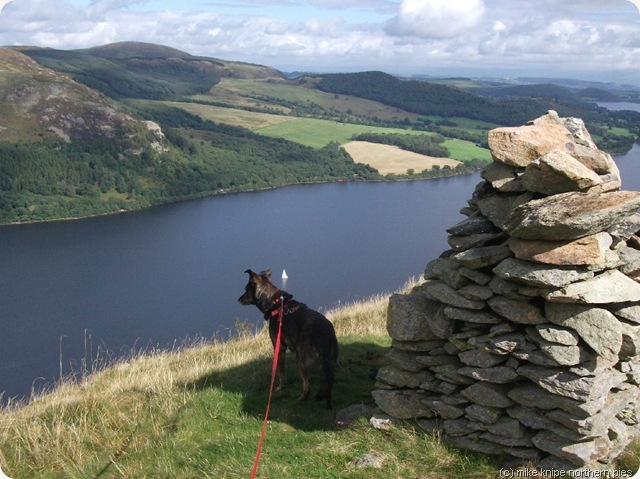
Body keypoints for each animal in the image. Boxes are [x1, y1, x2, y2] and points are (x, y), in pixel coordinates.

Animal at [239, 270, 340, 408]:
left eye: (246, 289)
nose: (239, 299)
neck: (276, 304)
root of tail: (323, 336)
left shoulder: (278, 347)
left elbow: (281, 372)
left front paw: (280, 388)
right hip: (329, 365)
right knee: (328, 386)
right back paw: (328, 406)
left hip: (300, 360)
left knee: (307, 386)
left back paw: (300, 399)